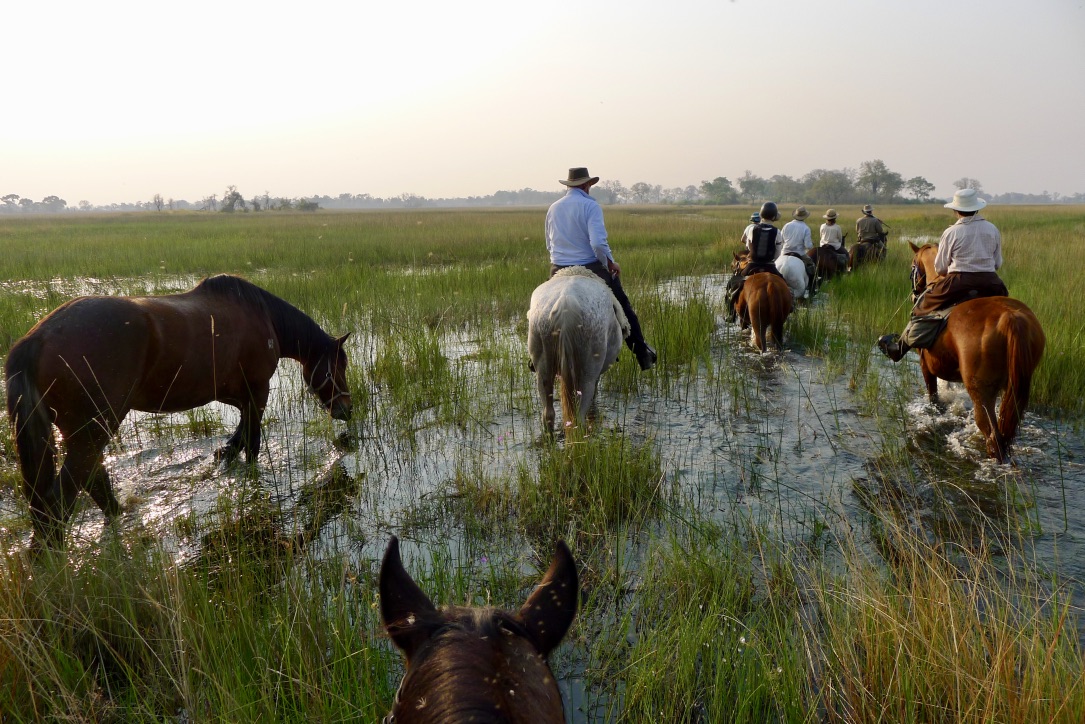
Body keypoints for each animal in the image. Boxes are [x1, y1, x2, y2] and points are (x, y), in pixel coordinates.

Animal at [4, 274, 351, 547]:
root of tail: (37, 338)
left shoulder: (239, 396)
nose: (346, 409)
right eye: (339, 365)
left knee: (91, 481)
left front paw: (221, 458)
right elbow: (252, 442)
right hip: (92, 429)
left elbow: (237, 437)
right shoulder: (257, 392)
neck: (263, 317)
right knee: (60, 500)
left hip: (83, 432)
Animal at [911, 240, 1045, 462]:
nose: (915, 293)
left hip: (981, 392)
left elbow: (934, 396)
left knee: (991, 434)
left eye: (913, 265)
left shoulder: (926, 366)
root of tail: (1010, 318)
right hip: (1012, 387)